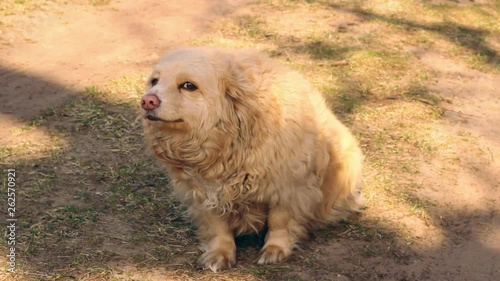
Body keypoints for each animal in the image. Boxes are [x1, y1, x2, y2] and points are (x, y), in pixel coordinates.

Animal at [141, 47, 364, 270]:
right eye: (154, 81)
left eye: (189, 86)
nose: (147, 101)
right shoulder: (203, 193)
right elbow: (217, 227)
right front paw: (220, 253)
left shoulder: (289, 188)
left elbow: (279, 222)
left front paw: (275, 250)